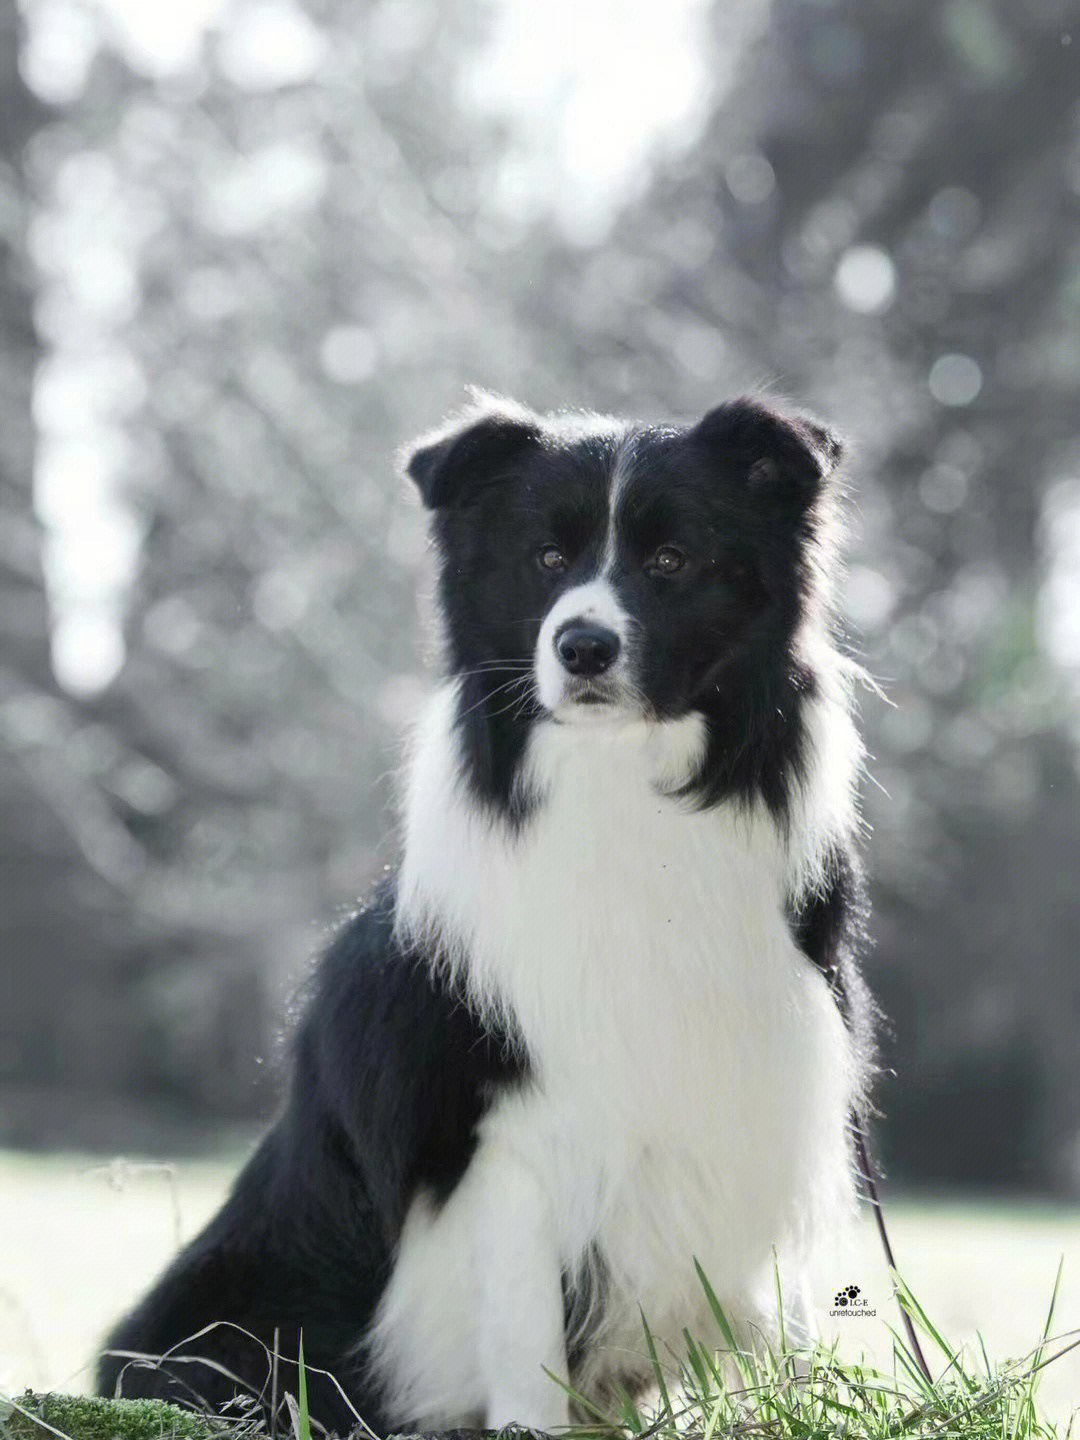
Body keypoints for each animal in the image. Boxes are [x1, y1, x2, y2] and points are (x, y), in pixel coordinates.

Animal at [99, 391, 881, 1428]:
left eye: (672, 560)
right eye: (545, 558)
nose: (582, 646)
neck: (617, 788)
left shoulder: (760, 1099)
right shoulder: (504, 1135)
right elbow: (525, 1336)